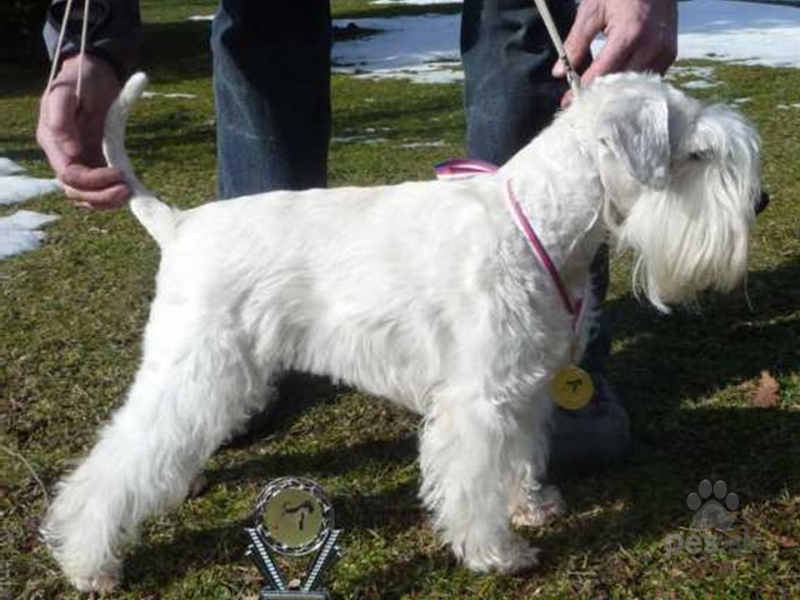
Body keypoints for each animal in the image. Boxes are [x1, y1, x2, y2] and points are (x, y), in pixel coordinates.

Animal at [42, 71, 764, 592]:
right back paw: (88, 562)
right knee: (115, 462)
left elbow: (521, 454)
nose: (760, 203)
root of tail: (179, 224)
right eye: (698, 153)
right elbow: (472, 480)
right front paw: (496, 552)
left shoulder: (523, 386)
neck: (538, 221)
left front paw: (530, 505)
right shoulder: (478, 400)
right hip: (193, 371)